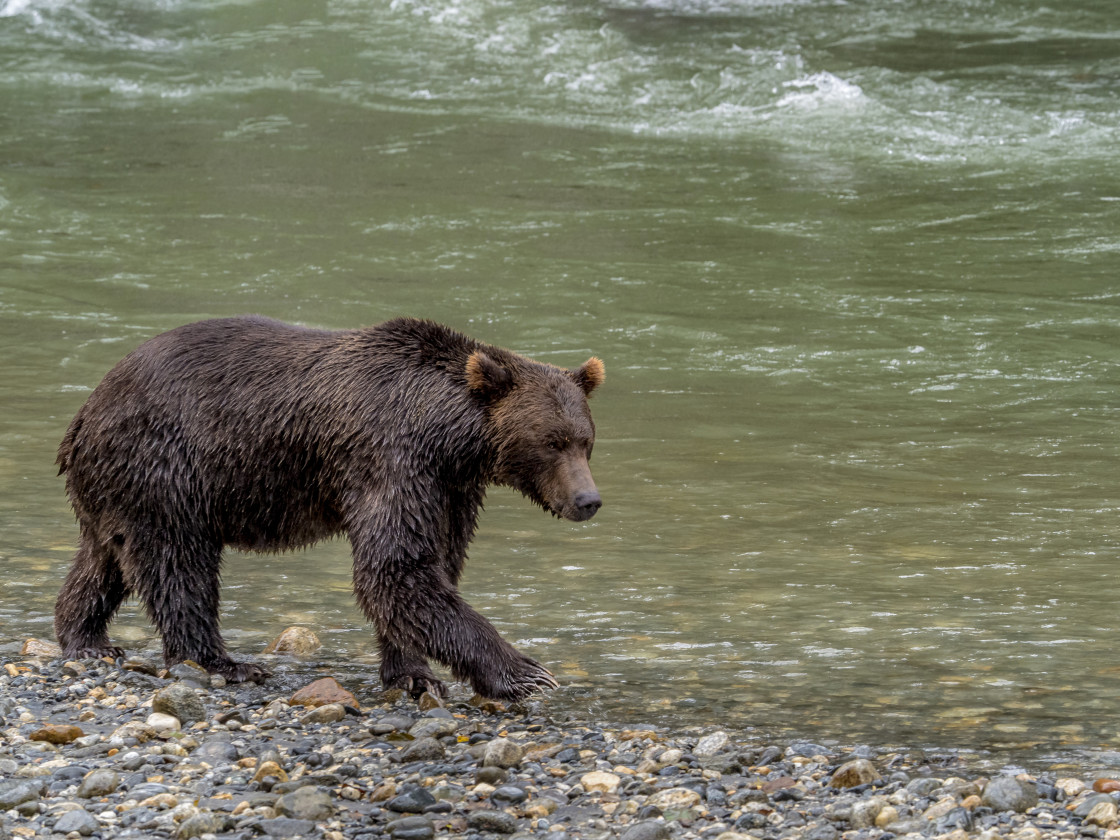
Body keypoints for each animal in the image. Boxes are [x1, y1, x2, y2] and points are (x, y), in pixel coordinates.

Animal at [52, 318, 604, 703]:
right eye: (551, 442)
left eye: (586, 441)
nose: (588, 500)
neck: (449, 438)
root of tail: (84, 412)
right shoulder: (392, 459)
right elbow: (395, 568)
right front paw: (527, 674)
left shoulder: (450, 488)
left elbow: (432, 566)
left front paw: (413, 675)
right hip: (167, 467)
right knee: (178, 563)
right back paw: (223, 663)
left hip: (119, 489)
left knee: (104, 560)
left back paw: (87, 639)